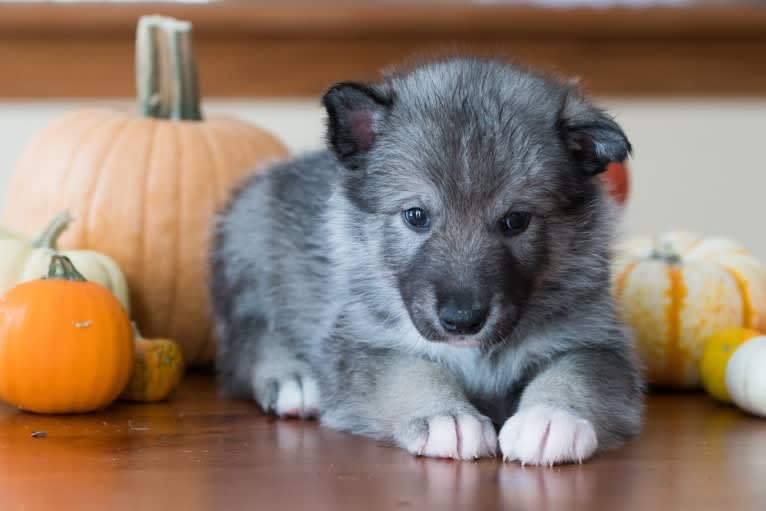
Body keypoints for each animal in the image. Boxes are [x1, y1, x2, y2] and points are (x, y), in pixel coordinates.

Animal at [208, 58, 640, 466]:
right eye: (416, 216)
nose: (462, 321)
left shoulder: (591, 340)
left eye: (516, 220)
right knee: (249, 344)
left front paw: (550, 418)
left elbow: (577, 375)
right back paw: (294, 380)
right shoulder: (366, 343)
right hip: (249, 262)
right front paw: (445, 417)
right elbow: (410, 372)